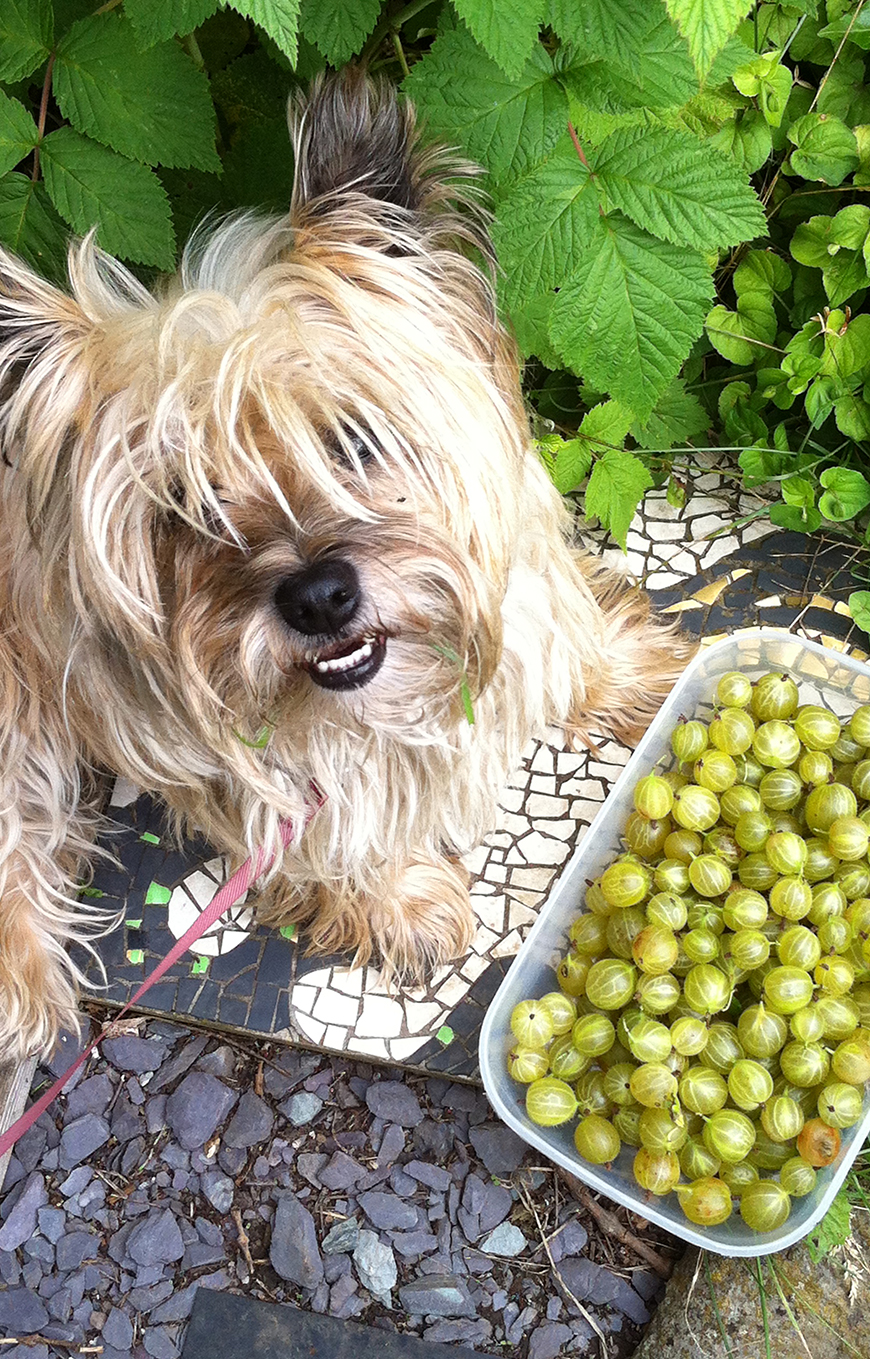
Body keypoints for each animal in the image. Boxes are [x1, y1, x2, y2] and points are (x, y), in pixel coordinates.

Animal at [0, 68, 693, 1060]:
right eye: (188, 499)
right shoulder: (243, 758)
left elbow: (567, 639)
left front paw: (633, 676)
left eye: (354, 437)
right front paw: (397, 901)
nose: (319, 598)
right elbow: (328, 825)